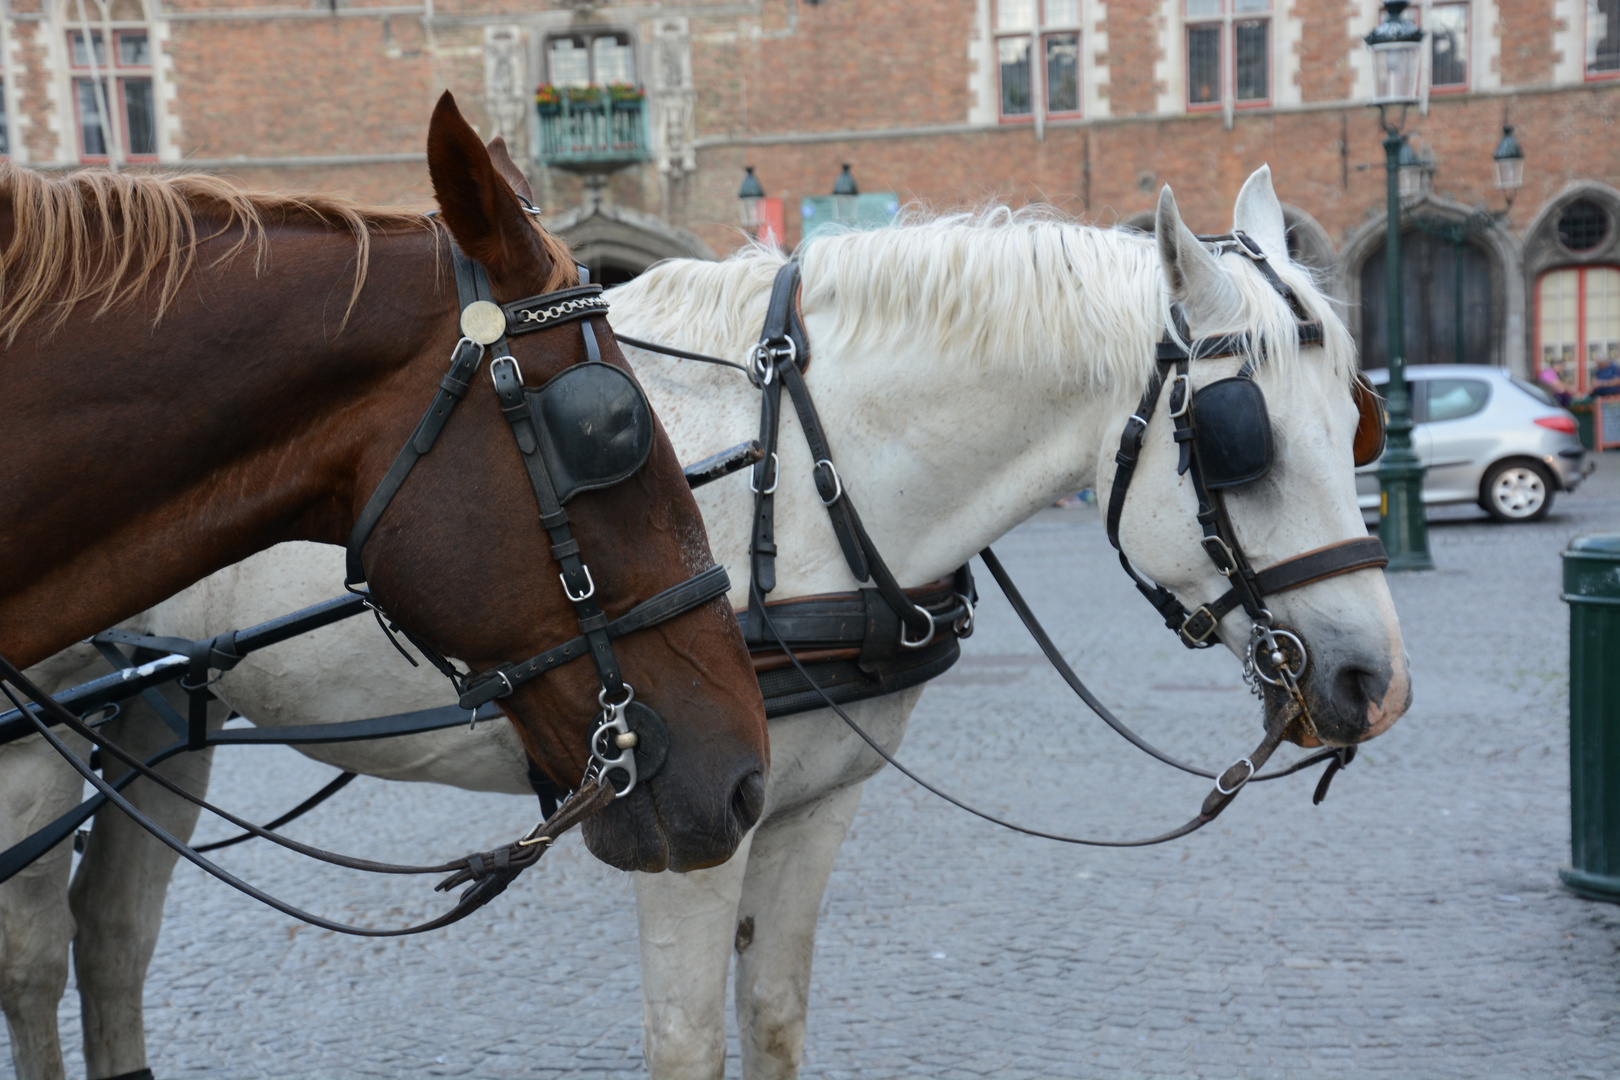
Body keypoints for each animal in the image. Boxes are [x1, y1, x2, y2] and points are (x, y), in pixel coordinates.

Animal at [3, 169, 1406, 1080]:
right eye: (1240, 439)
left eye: (1359, 418)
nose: (1371, 682)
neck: (806, 474)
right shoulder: (680, 822)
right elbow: (685, 1043)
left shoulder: (809, 804)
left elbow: (774, 1018)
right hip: (39, 741)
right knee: (36, 959)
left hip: (159, 712)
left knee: (111, 939)